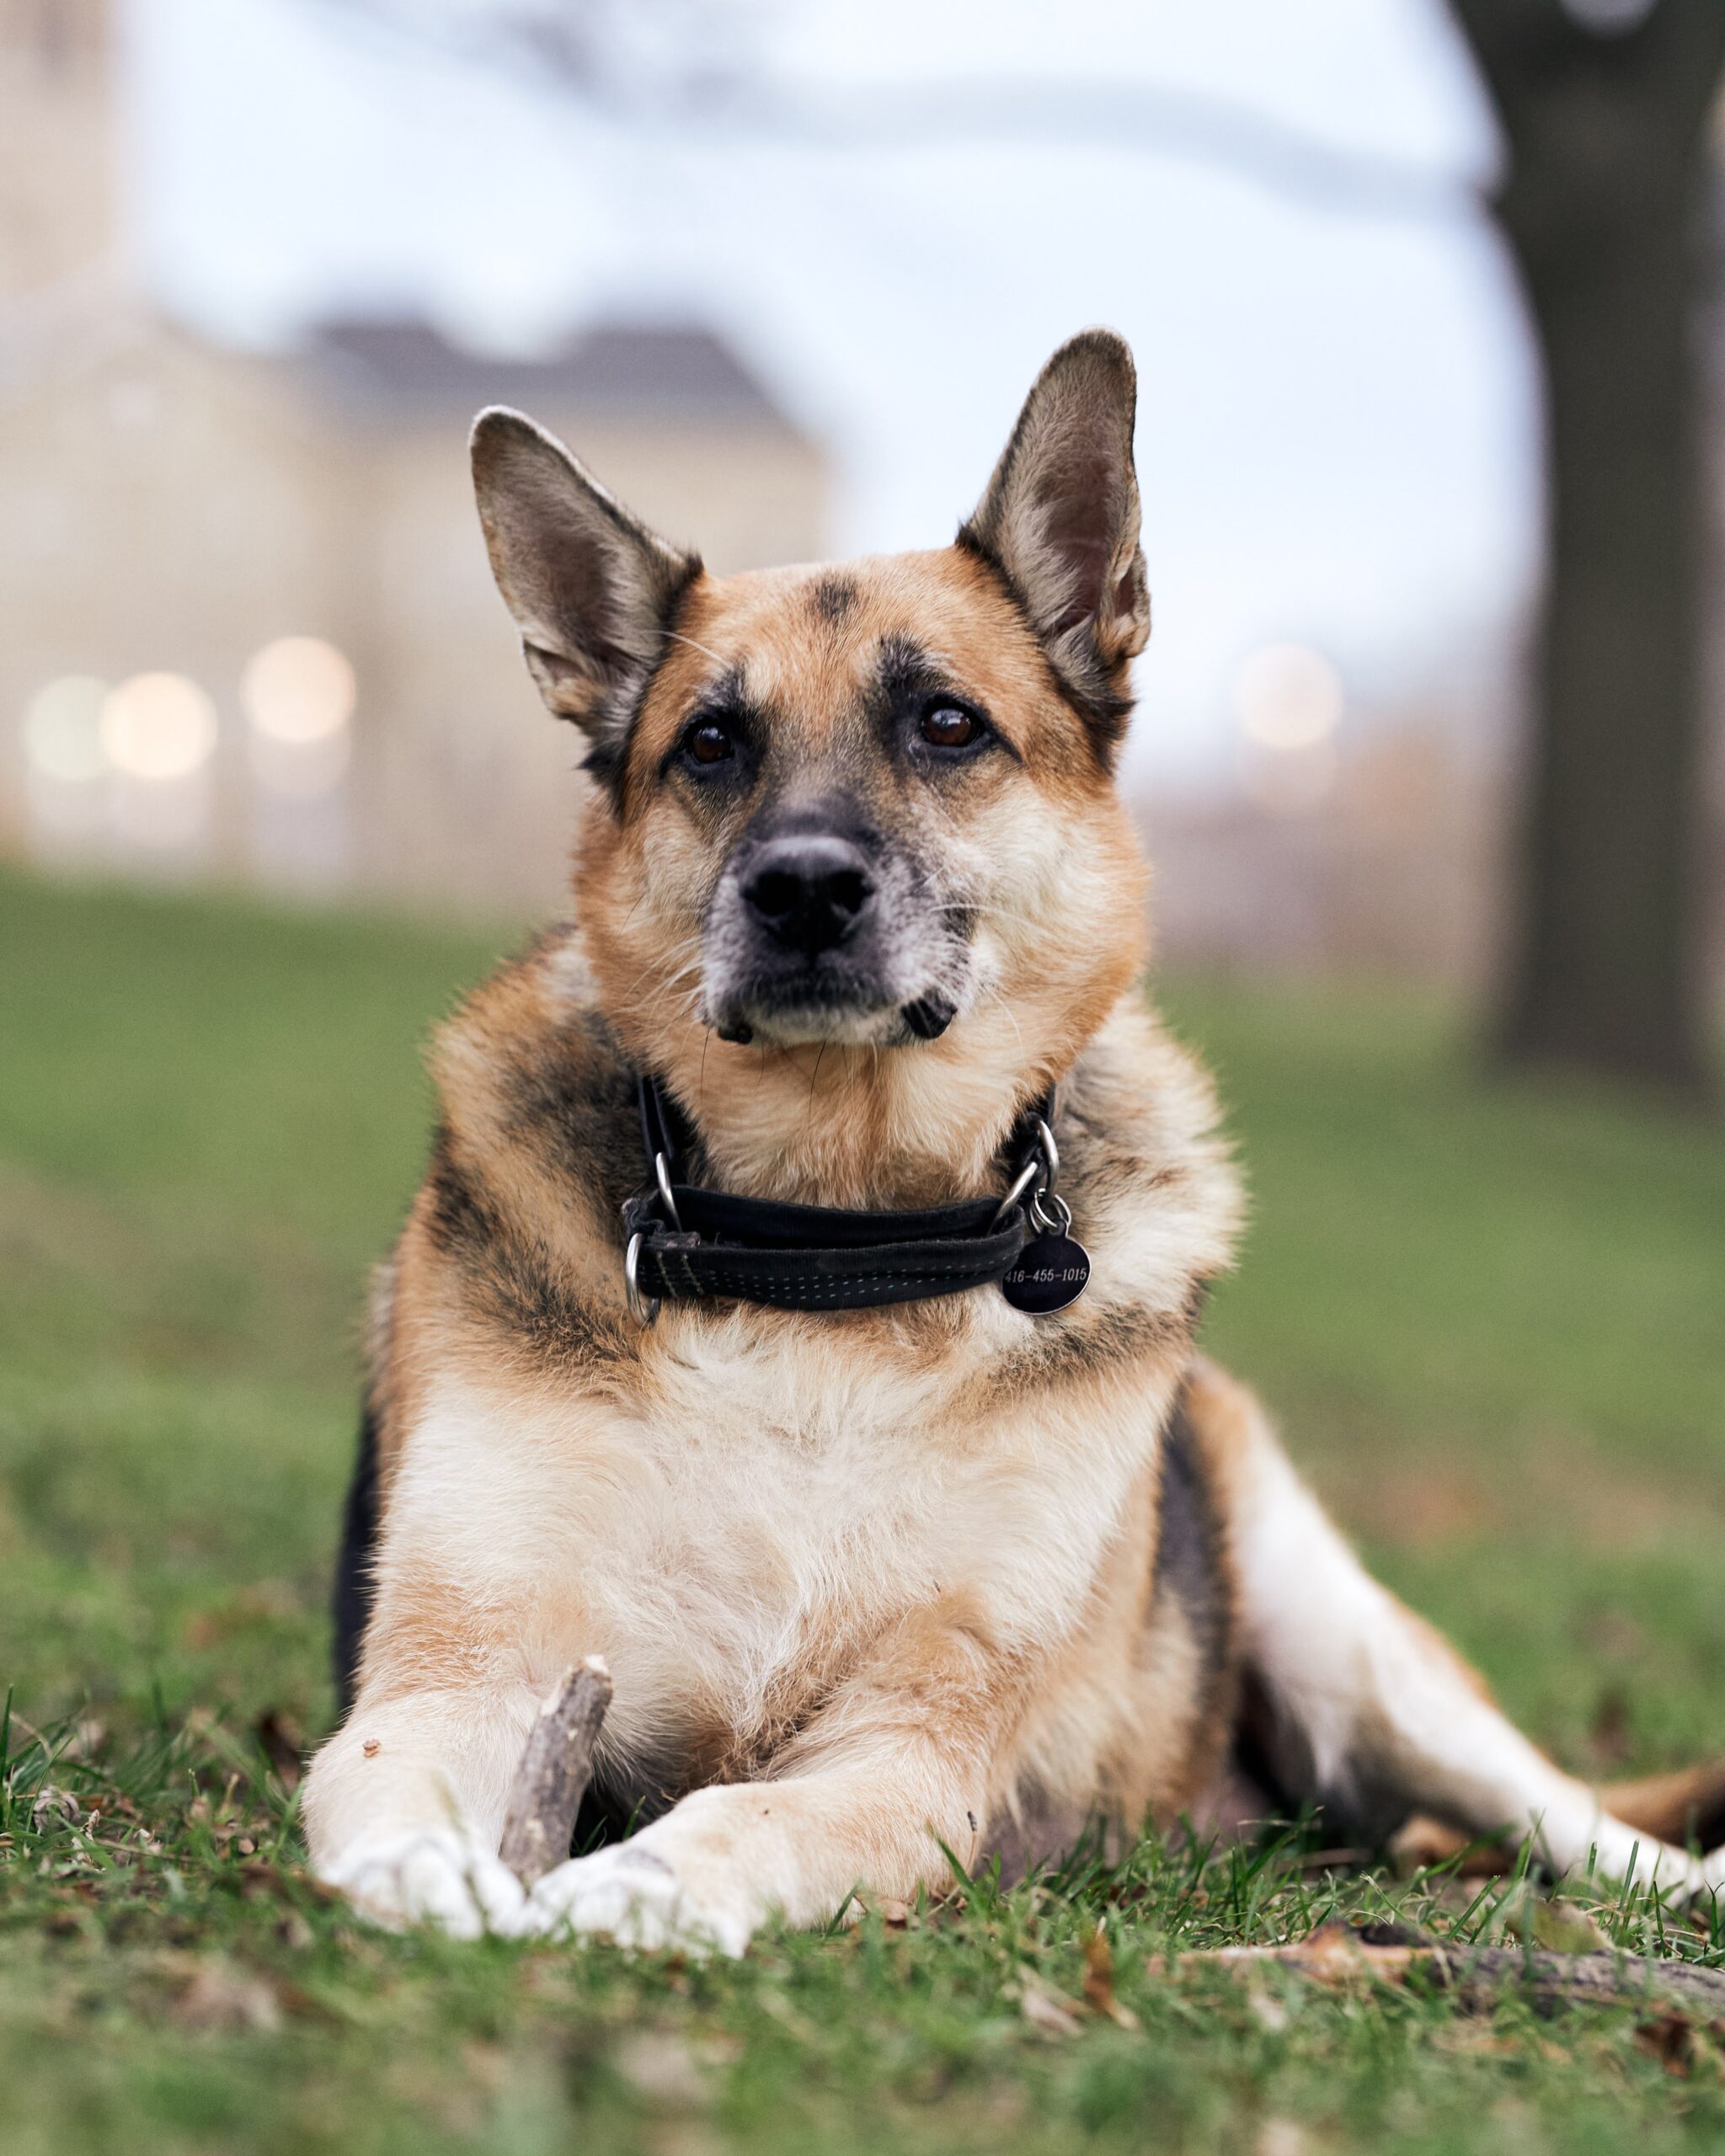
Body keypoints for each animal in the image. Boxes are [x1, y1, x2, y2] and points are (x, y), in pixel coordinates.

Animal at [306, 323, 1725, 1957]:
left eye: (945, 725)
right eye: (711, 744)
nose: (801, 890)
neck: (834, 1248)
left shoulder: (914, 1748)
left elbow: (746, 1817)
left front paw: (637, 1886)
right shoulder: (458, 1670)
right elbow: (394, 1778)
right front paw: (430, 1875)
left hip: (1355, 1652)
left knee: (1566, 1821)